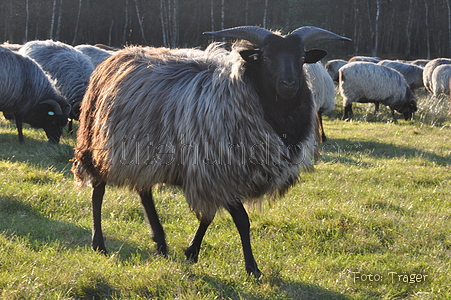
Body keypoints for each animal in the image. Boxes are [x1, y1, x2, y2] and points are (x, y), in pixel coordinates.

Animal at [72, 25, 352, 276]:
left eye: (302, 58)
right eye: (266, 57)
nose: (289, 84)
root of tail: (117, 56)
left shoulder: (213, 175)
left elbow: (208, 217)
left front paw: (191, 252)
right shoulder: (216, 169)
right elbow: (241, 220)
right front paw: (252, 268)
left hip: (146, 153)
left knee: (144, 192)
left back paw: (160, 242)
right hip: (99, 144)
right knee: (98, 191)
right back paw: (99, 244)